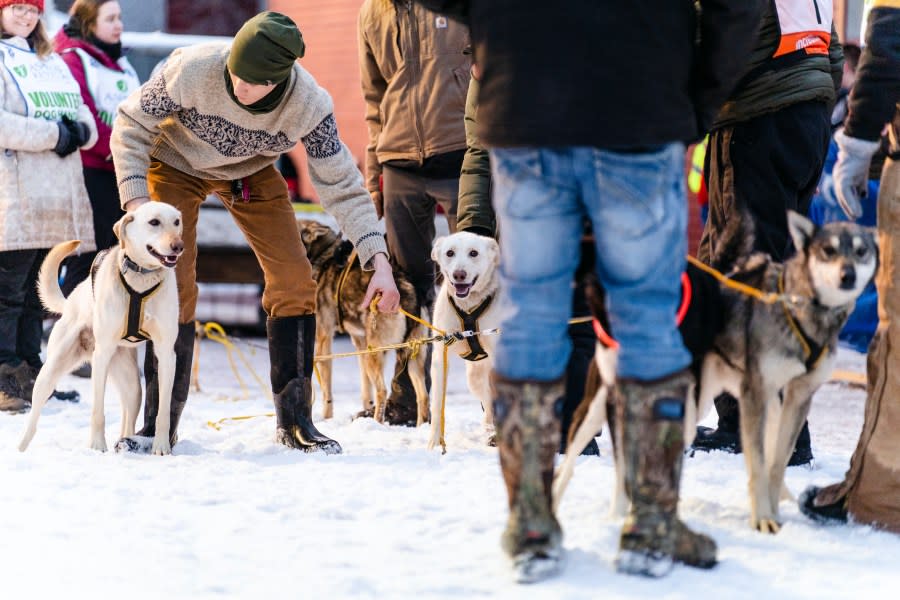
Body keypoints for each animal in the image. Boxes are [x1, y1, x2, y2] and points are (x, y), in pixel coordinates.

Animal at [18, 202, 183, 454]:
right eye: (154, 222)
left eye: (177, 222)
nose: (178, 246)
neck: (140, 277)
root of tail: (70, 301)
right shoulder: (102, 353)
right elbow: (98, 409)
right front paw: (97, 445)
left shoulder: (165, 353)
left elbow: (163, 409)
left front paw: (162, 446)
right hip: (50, 372)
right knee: (34, 417)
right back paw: (21, 448)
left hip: (132, 385)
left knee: (128, 413)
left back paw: (127, 440)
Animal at [298, 219, 430, 422]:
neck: (324, 256)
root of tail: (407, 289)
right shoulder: (359, 343)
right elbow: (365, 388)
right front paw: (364, 408)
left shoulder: (323, 341)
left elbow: (327, 391)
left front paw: (327, 418)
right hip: (411, 355)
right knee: (423, 397)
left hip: (375, 353)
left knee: (382, 391)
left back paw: (377, 422)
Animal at [428, 232, 500, 448]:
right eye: (450, 253)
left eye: (473, 253)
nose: (459, 274)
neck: (468, 307)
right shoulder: (440, 358)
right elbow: (437, 406)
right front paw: (434, 444)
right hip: (475, 379)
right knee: (488, 406)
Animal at [556, 213, 880, 532]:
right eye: (828, 250)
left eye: (861, 252)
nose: (847, 275)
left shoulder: (795, 397)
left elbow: (774, 464)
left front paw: (771, 512)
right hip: (598, 409)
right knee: (571, 462)